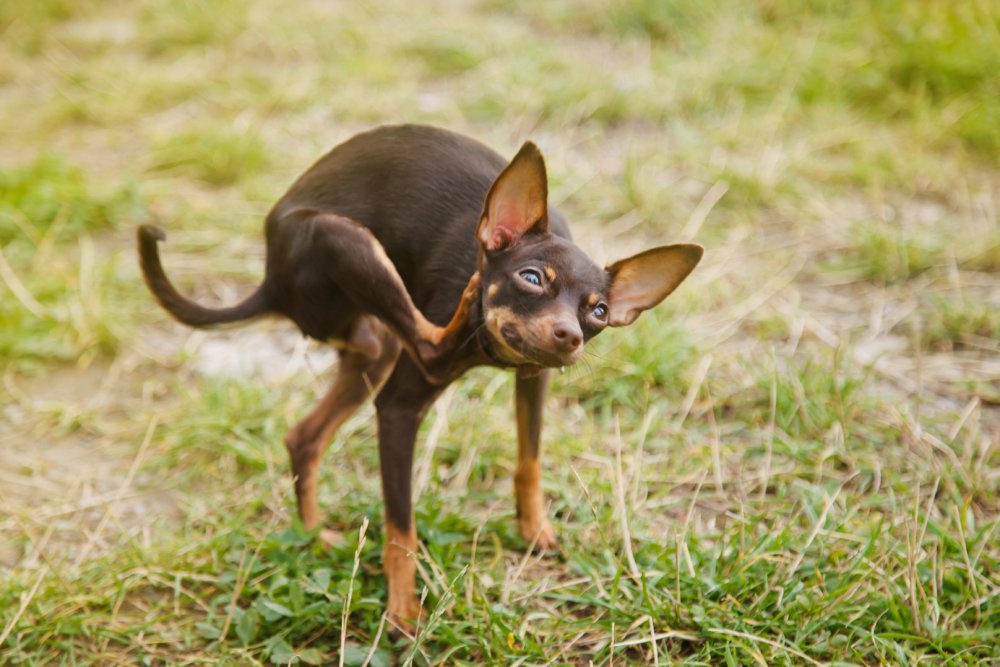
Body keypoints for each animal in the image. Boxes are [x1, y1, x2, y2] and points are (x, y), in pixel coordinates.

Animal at [139, 125, 704, 636]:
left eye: (599, 312)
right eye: (532, 278)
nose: (569, 335)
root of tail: (271, 280)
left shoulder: (533, 379)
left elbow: (529, 458)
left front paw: (533, 528)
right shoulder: (398, 409)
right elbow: (401, 527)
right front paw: (404, 611)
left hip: (371, 350)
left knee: (306, 434)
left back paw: (313, 534)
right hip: (343, 242)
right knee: (425, 347)